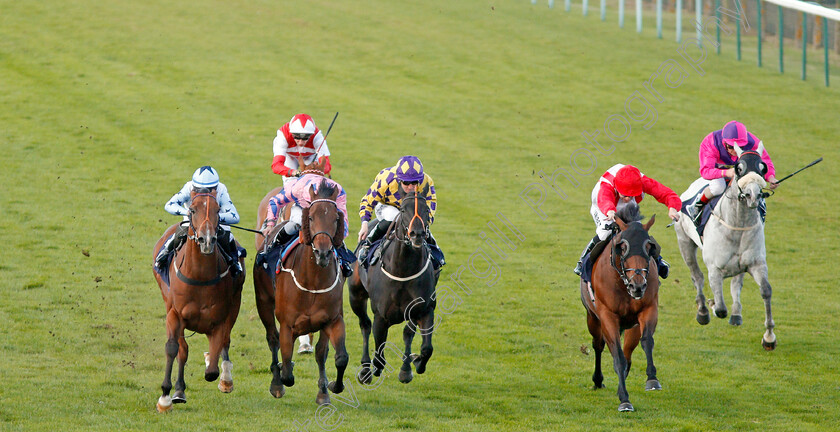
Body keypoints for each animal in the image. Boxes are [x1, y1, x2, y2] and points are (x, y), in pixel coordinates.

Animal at [152, 188, 244, 412]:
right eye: (192, 209)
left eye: (218, 210)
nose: (207, 240)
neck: (200, 276)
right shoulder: (174, 314)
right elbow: (174, 349)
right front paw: (166, 397)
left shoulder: (221, 319)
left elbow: (212, 368)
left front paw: (220, 372)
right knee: (183, 350)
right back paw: (179, 391)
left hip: (235, 304)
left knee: (224, 344)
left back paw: (225, 378)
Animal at [254, 179, 350, 404]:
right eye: (312, 216)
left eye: (335, 218)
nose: (322, 252)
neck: (313, 282)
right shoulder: (287, 324)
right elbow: (287, 370)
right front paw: (281, 375)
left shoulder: (332, 320)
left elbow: (337, 356)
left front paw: (328, 388)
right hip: (263, 303)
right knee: (272, 339)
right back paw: (276, 382)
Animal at [350, 189, 440, 384]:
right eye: (404, 210)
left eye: (426, 209)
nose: (417, 234)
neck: (403, 271)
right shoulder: (381, 315)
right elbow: (379, 354)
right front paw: (374, 368)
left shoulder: (424, 309)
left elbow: (425, 346)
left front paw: (412, 365)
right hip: (355, 296)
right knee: (364, 324)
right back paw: (365, 369)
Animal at [580, 201, 660, 414]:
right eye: (622, 246)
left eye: (649, 246)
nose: (638, 285)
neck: (624, 284)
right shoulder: (607, 316)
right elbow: (616, 355)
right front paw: (624, 399)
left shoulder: (648, 308)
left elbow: (647, 342)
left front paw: (652, 379)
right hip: (592, 318)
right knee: (599, 345)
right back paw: (598, 380)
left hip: (632, 326)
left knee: (628, 351)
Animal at [672, 145, 776, 352]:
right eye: (739, 168)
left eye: (763, 168)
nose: (753, 195)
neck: (737, 225)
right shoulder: (715, 269)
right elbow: (720, 309)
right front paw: (711, 305)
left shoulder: (757, 264)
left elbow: (765, 291)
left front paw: (769, 337)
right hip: (684, 243)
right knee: (697, 276)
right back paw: (703, 311)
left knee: (736, 284)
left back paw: (736, 314)